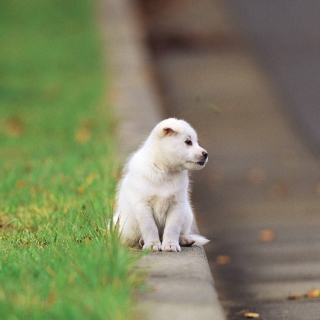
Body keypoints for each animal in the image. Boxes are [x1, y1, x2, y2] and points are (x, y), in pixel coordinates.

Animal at [114, 118, 210, 252]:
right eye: (188, 142)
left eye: (196, 142)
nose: (206, 154)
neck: (164, 171)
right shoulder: (143, 206)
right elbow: (150, 228)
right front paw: (152, 244)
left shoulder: (177, 205)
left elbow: (172, 228)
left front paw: (170, 245)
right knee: (132, 239)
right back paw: (141, 241)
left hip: (187, 214)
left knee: (181, 232)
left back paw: (185, 239)